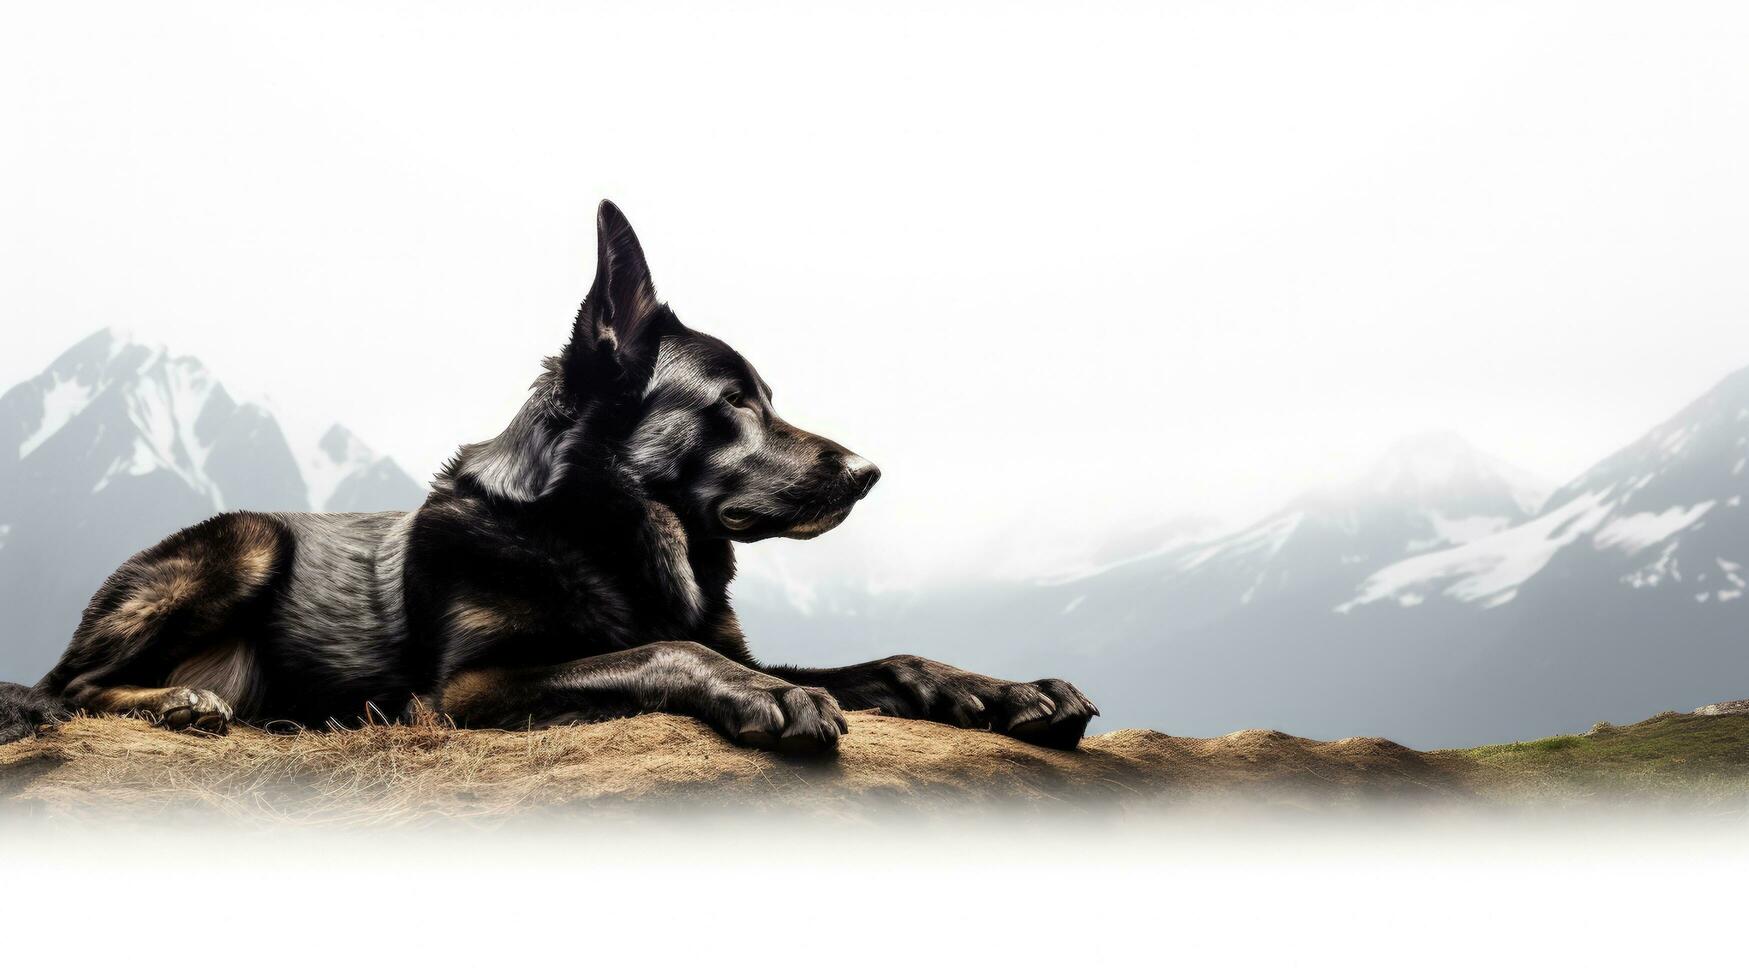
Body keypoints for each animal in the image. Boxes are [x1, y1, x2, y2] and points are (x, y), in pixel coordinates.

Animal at [0, 199, 1091, 749]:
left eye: (768, 397)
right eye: (735, 402)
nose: (870, 472)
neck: (596, 531)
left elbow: (883, 661)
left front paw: (997, 689)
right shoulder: (471, 690)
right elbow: (670, 651)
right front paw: (760, 698)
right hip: (248, 539)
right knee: (68, 686)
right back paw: (180, 705)